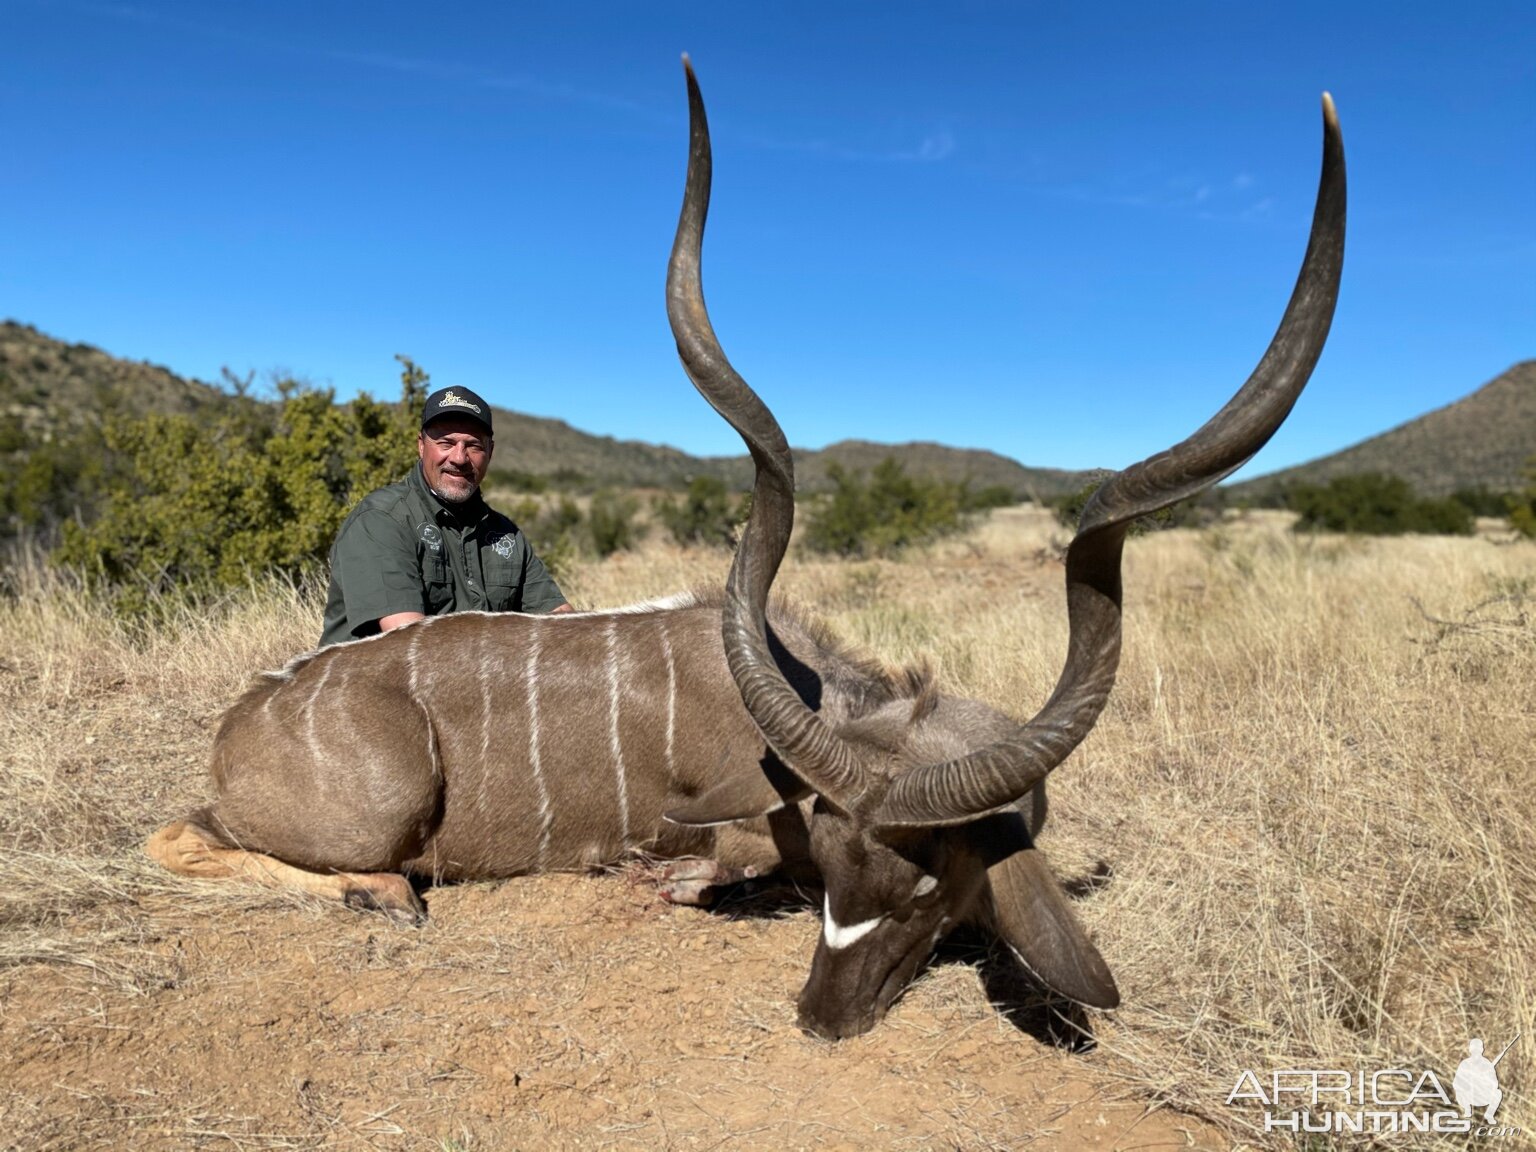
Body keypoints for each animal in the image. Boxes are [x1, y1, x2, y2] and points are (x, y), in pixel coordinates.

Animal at [146, 58, 1345, 1044]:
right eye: (848, 876)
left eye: (924, 890)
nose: (822, 1015)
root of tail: (245, 718)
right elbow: (724, 855)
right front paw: (668, 879)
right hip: (380, 806)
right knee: (180, 837)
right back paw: (384, 893)